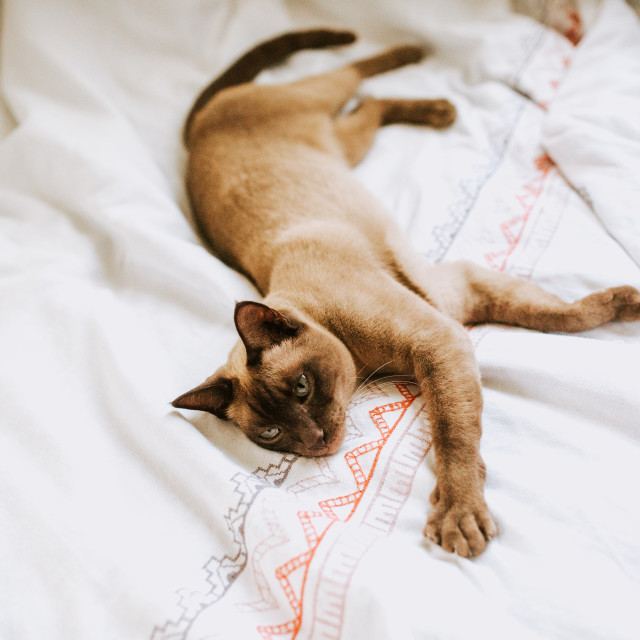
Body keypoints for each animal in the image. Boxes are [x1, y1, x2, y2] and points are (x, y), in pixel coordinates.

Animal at [171, 30, 640, 556]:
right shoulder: (453, 309)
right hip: (346, 144)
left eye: (302, 387)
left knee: (356, 77)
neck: (362, 363)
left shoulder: (442, 328)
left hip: (326, 111)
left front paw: (458, 515)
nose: (315, 440)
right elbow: (552, 317)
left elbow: (462, 423)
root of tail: (195, 133)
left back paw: (415, 57)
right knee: (368, 105)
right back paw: (434, 100)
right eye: (272, 432)